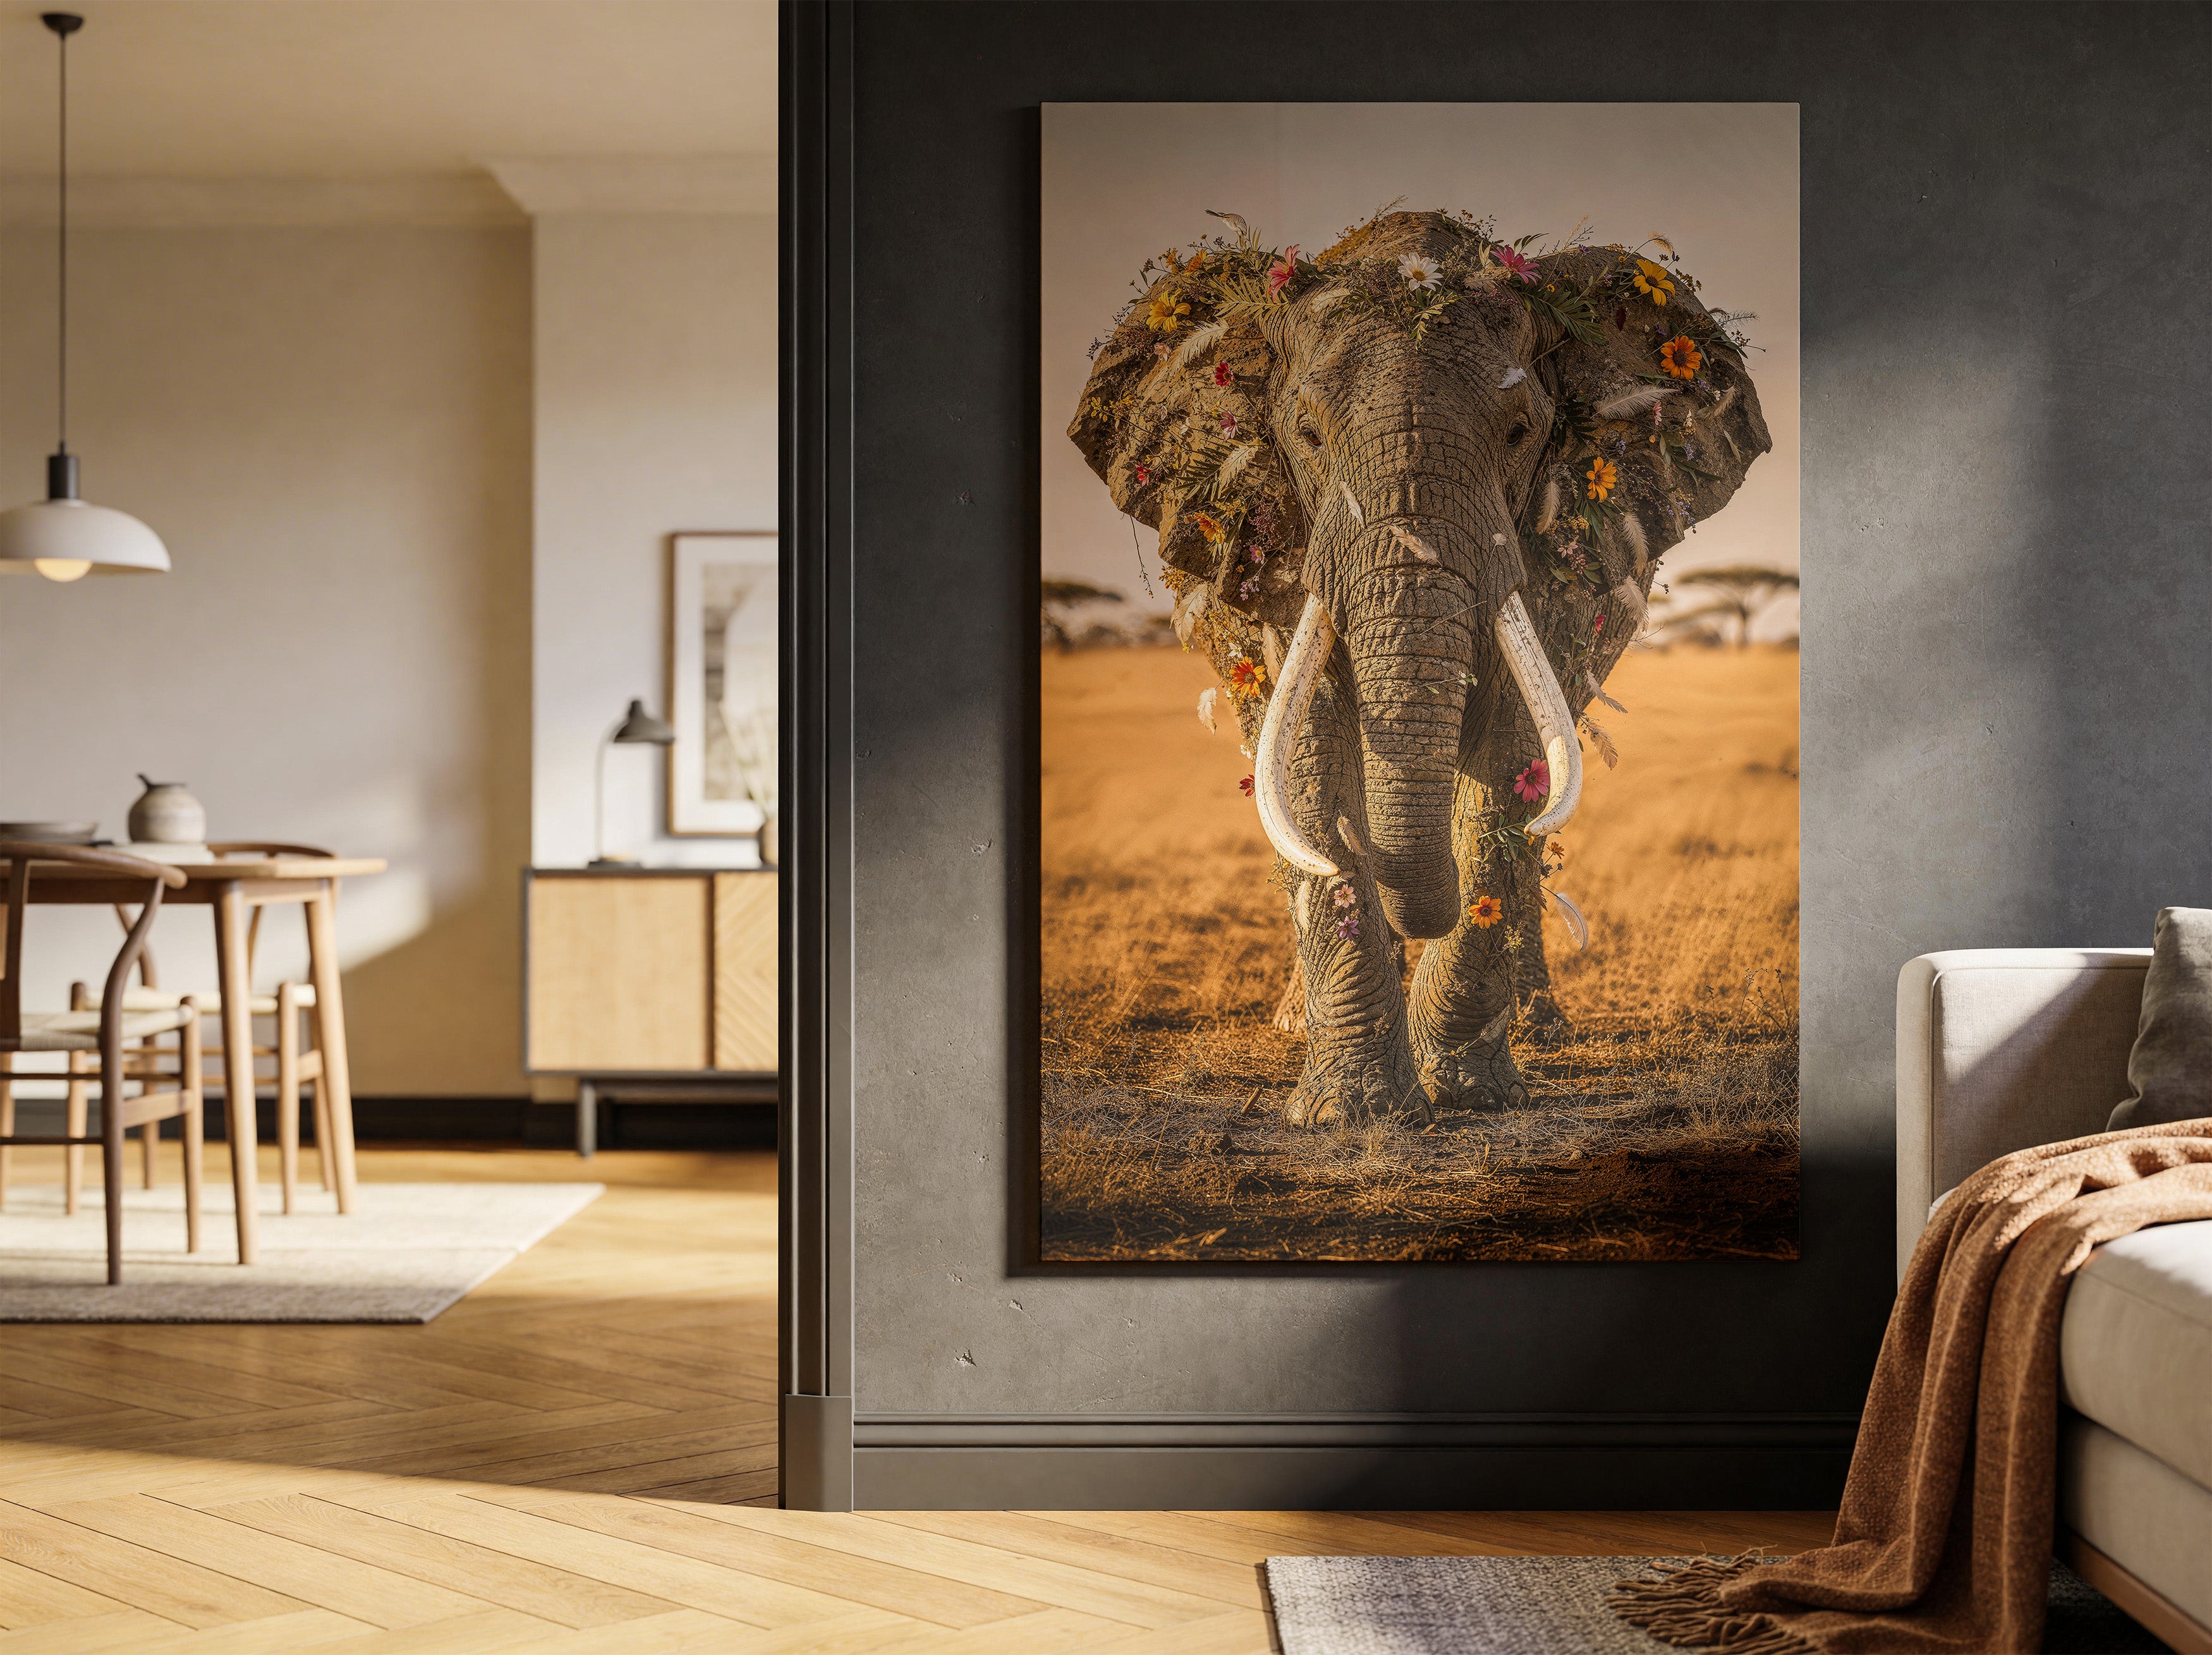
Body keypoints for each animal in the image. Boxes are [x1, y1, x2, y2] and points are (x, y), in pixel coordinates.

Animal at [1067, 209, 1770, 1126]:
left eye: (1519, 433)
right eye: (1307, 435)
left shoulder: (1559, 544)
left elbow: (1509, 763)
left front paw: (1468, 1092)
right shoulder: (1273, 540)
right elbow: (1311, 761)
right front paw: (1355, 1112)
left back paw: (1539, 1026)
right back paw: (1295, 1023)